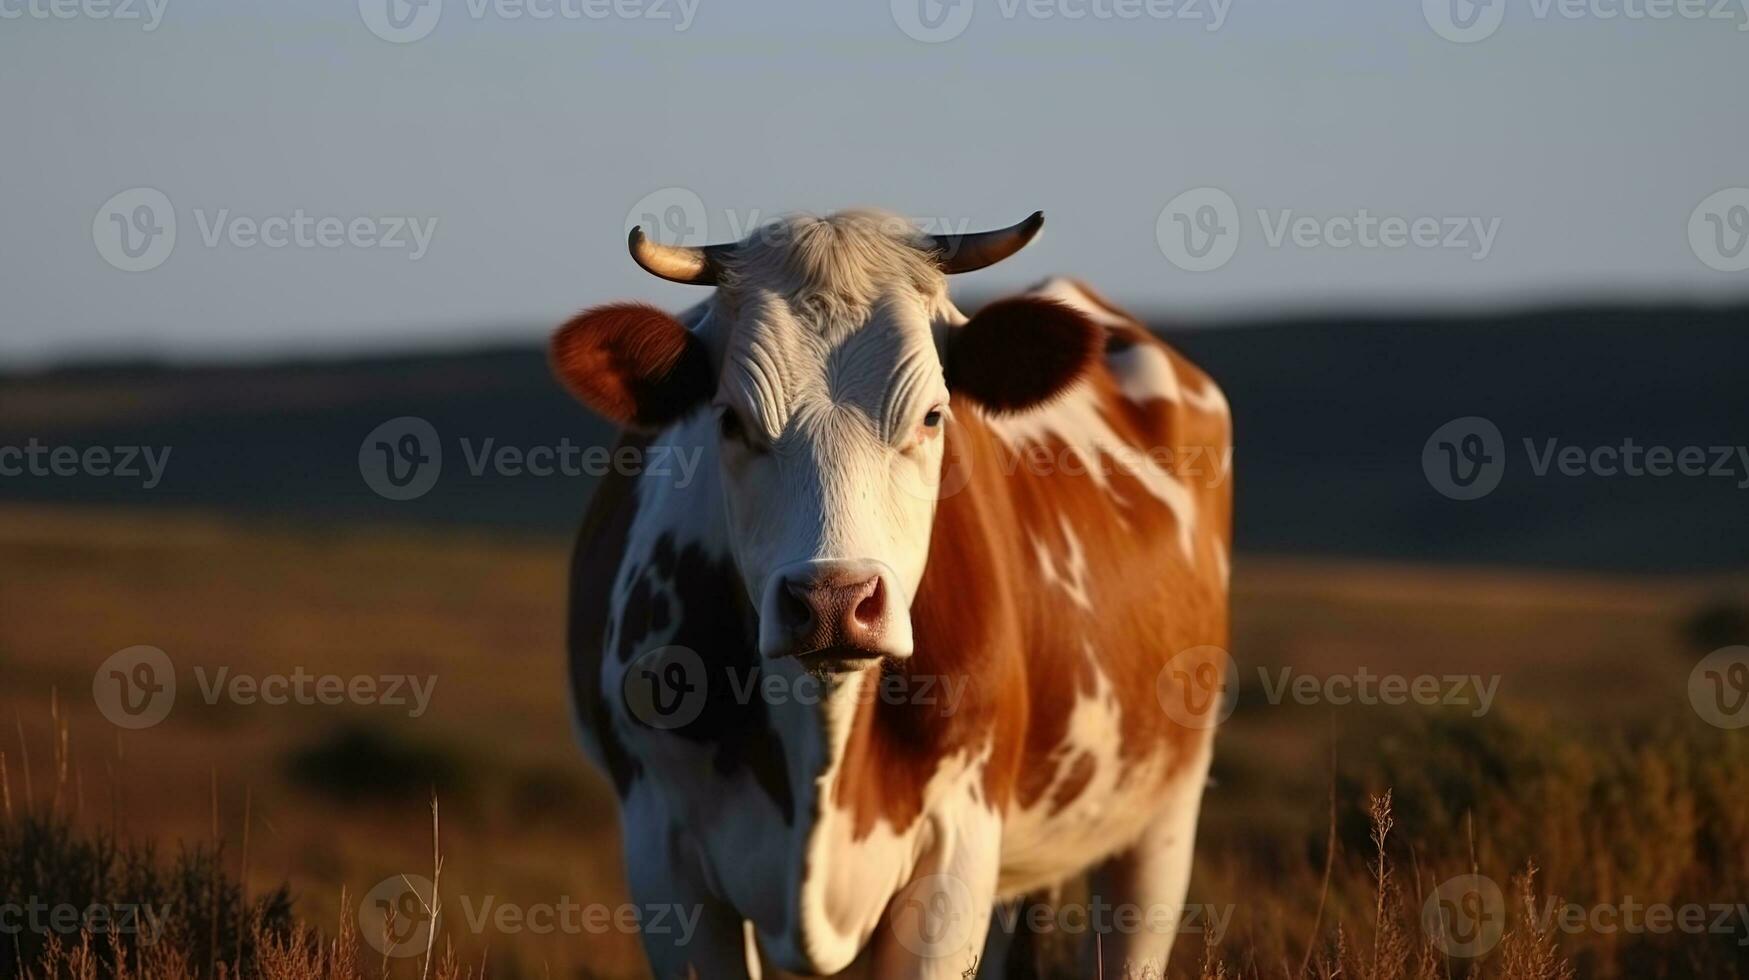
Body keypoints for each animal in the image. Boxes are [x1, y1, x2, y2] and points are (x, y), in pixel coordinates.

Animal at [556, 210, 1231, 973]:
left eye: (933, 416)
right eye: (729, 420)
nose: (832, 600)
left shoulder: (957, 843)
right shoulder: (661, 849)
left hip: (1163, 816)